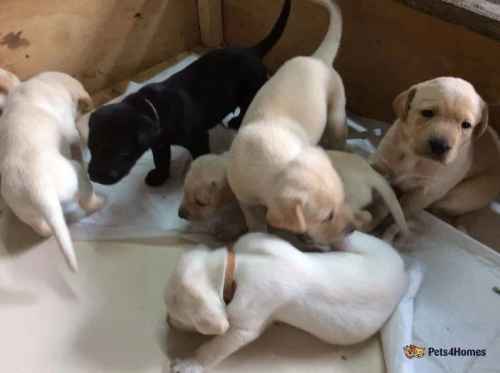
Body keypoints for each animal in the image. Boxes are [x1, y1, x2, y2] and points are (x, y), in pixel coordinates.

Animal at [0, 72, 103, 270]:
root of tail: (38, 189)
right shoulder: (72, 132)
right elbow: (76, 143)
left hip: (23, 209)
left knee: (40, 227)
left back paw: (46, 231)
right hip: (75, 175)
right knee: (86, 197)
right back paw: (99, 203)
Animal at [166, 231, 408, 370]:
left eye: (179, 318)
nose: (168, 322)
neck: (234, 272)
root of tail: (402, 267)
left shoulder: (243, 327)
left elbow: (214, 348)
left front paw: (191, 363)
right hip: (360, 244)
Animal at [372, 77, 500, 234]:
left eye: (466, 125)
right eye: (427, 113)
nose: (440, 146)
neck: (415, 157)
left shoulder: (425, 193)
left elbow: (402, 211)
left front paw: (387, 228)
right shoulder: (381, 161)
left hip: (459, 196)